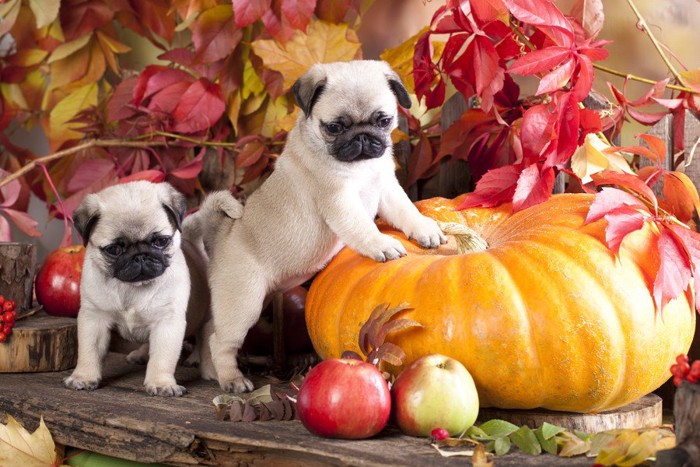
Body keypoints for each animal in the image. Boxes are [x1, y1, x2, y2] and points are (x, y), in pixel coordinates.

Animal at [63, 181, 211, 396]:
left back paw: (195, 359)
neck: (132, 288)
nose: (139, 256)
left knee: (203, 335)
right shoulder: (94, 319)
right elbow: (89, 351)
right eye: (114, 249)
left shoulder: (166, 324)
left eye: (160, 241)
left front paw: (161, 383)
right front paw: (84, 377)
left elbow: (162, 358)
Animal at [200, 60, 446, 394]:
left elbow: (406, 210)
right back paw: (231, 378)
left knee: (208, 330)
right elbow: (363, 228)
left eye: (383, 120)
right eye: (335, 127)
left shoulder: (387, 188)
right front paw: (382, 244)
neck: (362, 168)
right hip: (244, 302)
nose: (363, 137)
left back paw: (208, 371)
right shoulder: (339, 201)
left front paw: (424, 228)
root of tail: (221, 237)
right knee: (220, 340)